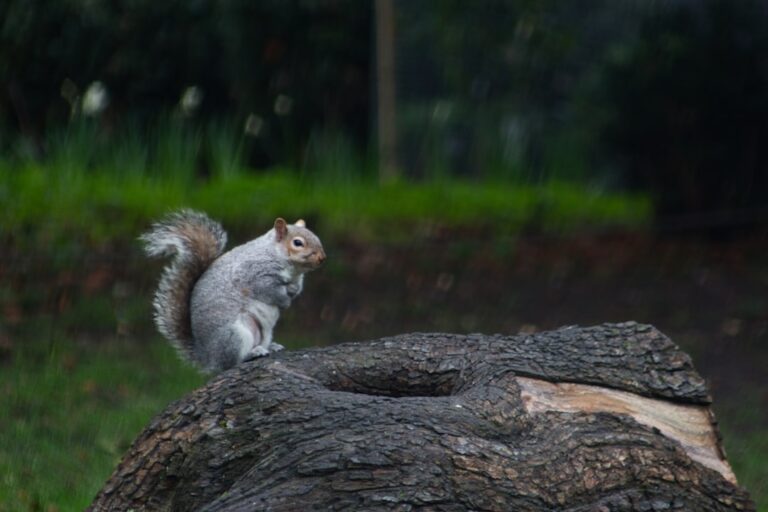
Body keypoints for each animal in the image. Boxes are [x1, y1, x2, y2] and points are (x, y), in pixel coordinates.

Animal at [140, 209, 326, 374]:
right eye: (297, 243)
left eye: (316, 237)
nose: (322, 258)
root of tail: (209, 357)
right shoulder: (256, 275)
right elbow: (271, 291)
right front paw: (284, 301)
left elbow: (295, 289)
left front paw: (293, 291)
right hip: (235, 335)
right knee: (232, 362)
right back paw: (252, 353)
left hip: (263, 333)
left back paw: (270, 347)